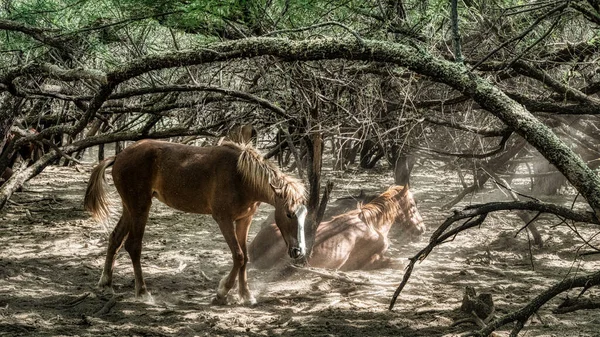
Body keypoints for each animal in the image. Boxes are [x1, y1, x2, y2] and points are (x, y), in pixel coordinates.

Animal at [84, 139, 308, 304]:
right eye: (289, 213)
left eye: (304, 214)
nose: (299, 251)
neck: (240, 177)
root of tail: (118, 156)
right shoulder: (223, 220)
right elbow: (238, 256)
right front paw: (222, 292)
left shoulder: (244, 220)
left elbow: (245, 257)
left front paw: (246, 295)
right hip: (140, 208)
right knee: (133, 246)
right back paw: (142, 292)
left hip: (129, 208)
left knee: (115, 238)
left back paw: (106, 282)